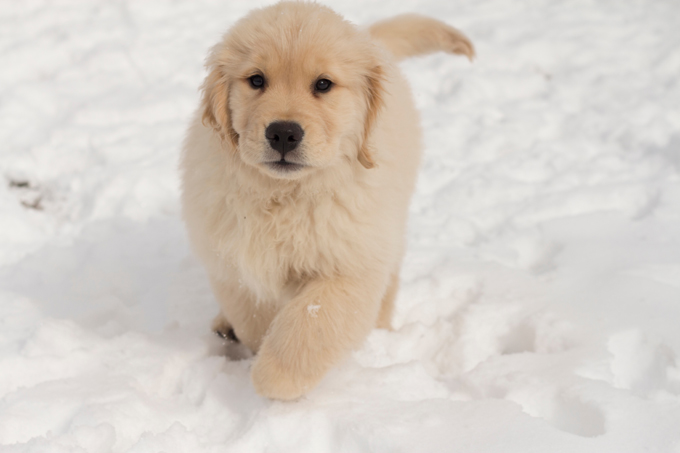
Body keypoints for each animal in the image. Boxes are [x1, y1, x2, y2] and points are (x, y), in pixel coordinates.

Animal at [179, 0, 472, 400]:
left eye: (323, 84)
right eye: (256, 80)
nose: (283, 133)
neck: (284, 195)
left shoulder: (348, 266)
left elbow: (309, 325)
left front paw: (273, 378)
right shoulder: (234, 262)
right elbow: (255, 318)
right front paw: (254, 346)